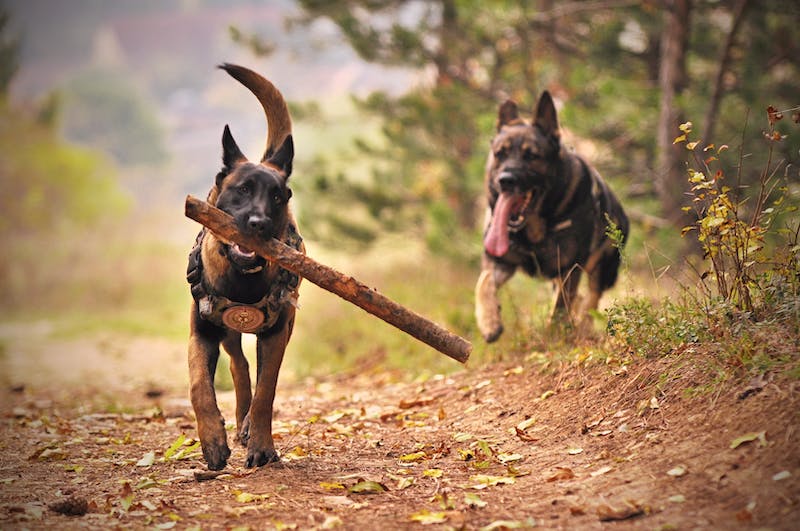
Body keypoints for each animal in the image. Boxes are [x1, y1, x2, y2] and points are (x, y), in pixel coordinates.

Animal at [186, 65, 302, 470]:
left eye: (278, 196)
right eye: (242, 190)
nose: (259, 224)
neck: (242, 278)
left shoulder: (276, 334)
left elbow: (267, 392)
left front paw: (262, 446)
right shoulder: (202, 332)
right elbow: (199, 386)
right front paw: (212, 441)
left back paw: (249, 426)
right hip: (226, 332)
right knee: (238, 365)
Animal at [478, 92, 628, 342]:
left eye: (531, 156)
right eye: (500, 154)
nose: (505, 180)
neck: (534, 229)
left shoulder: (569, 268)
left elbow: (560, 308)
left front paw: (555, 335)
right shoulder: (499, 262)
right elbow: (484, 282)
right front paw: (489, 321)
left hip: (603, 270)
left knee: (590, 300)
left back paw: (582, 326)